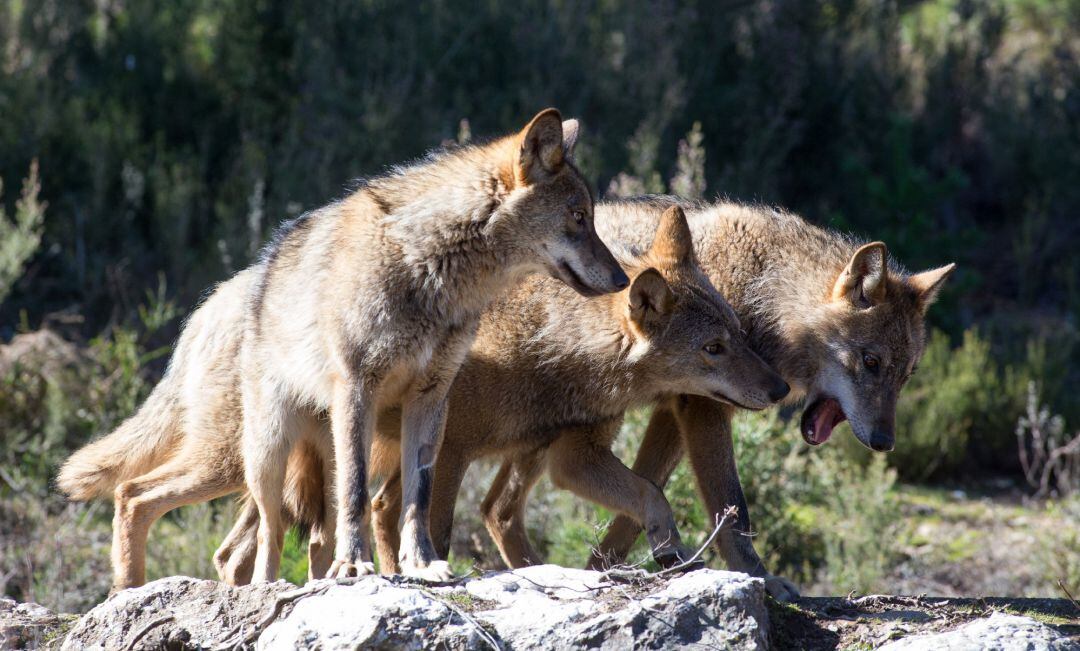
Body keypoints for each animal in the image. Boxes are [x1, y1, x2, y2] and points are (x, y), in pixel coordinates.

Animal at [59, 109, 629, 589]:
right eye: (579, 216)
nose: (625, 280)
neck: (430, 269)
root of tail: (210, 306)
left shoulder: (431, 400)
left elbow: (417, 498)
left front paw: (422, 565)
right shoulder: (359, 388)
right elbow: (358, 494)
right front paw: (355, 566)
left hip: (299, 457)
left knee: (278, 539)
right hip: (255, 456)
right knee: (158, 504)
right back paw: (154, 591)